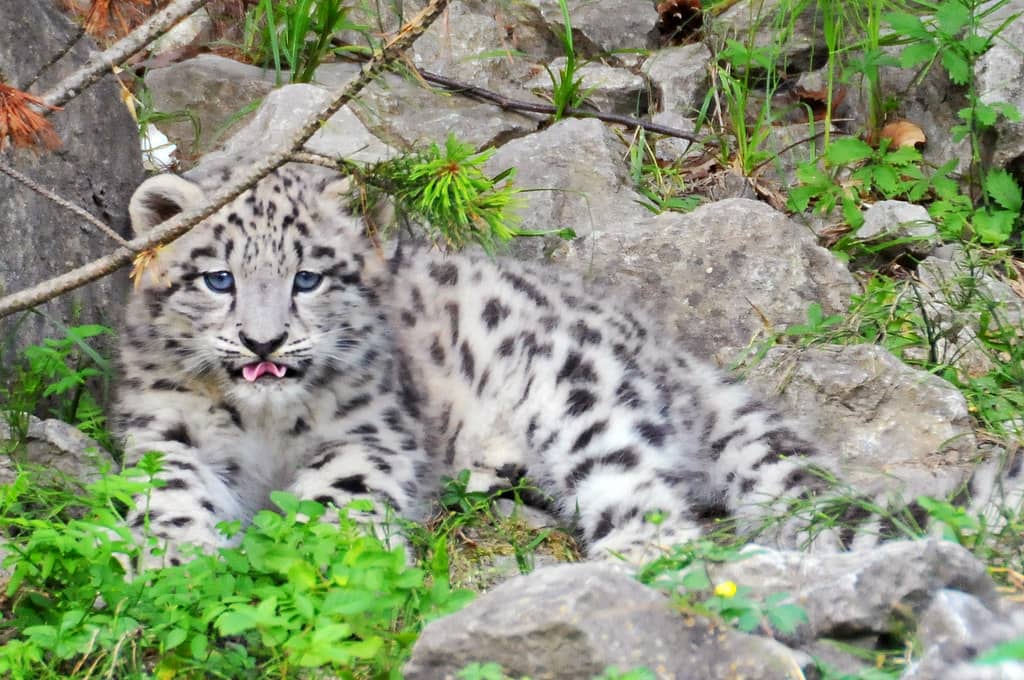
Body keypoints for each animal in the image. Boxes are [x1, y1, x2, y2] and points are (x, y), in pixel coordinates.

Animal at [115, 164, 1020, 568]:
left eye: (308, 277)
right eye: (219, 278)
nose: (264, 344)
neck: (266, 432)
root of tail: (662, 344)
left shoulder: (372, 434)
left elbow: (335, 500)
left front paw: (297, 561)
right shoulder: (161, 430)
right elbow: (168, 496)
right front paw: (181, 566)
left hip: (585, 401)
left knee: (654, 513)